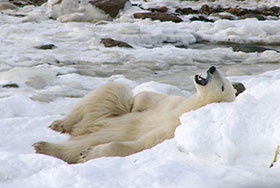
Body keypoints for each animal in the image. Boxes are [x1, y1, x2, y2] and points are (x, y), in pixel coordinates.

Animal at [32, 67, 238, 164]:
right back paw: (61, 124)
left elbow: (140, 145)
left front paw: (90, 153)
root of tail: (80, 131)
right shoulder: (172, 105)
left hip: (91, 135)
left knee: (75, 147)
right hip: (103, 116)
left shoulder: (171, 132)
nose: (212, 68)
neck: (189, 109)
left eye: (222, 87)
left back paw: (45, 146)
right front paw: (138, 104)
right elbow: (146, 98)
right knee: (114, 91)